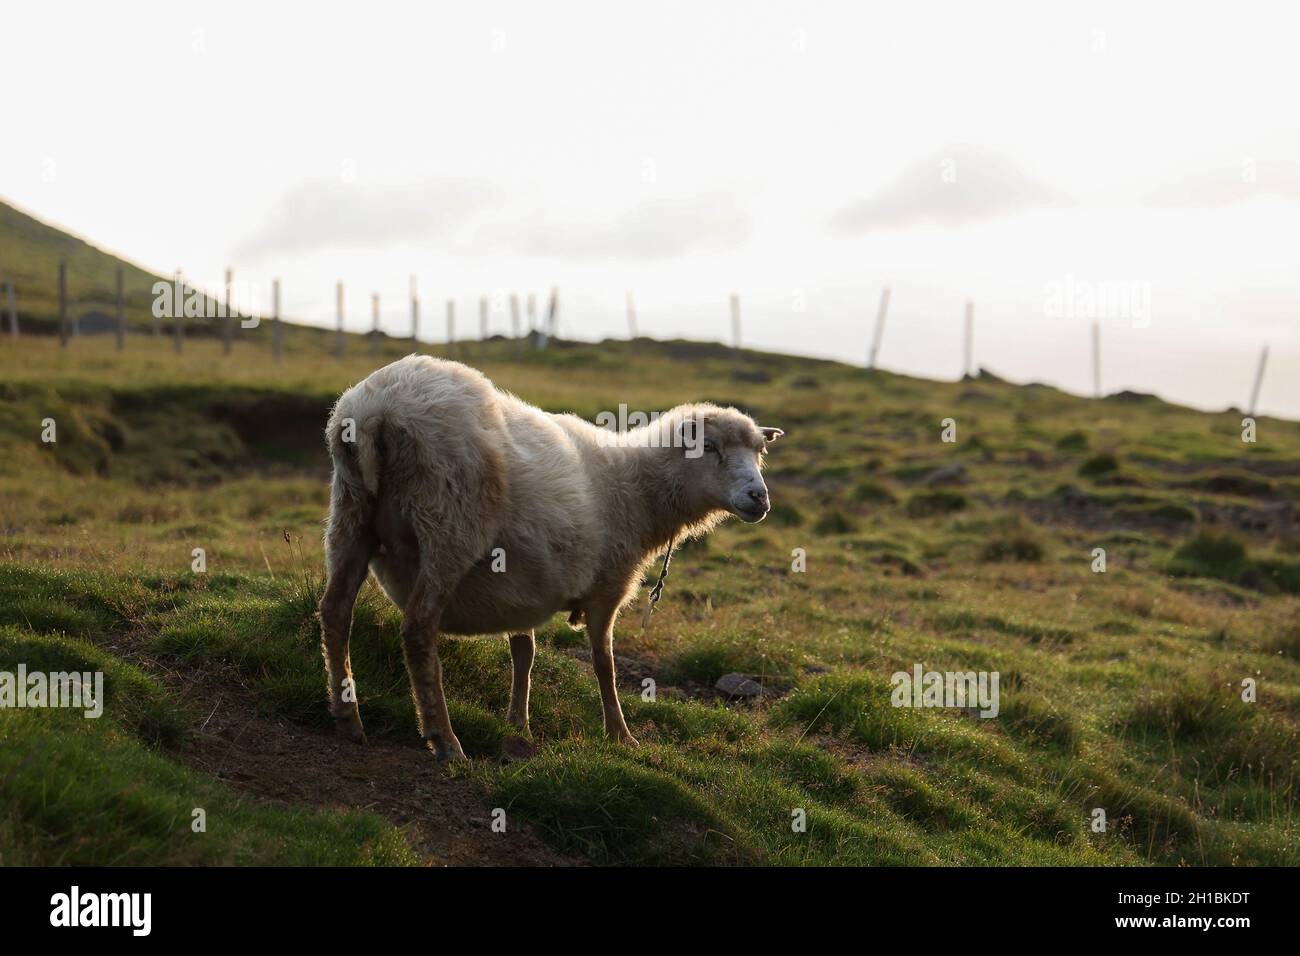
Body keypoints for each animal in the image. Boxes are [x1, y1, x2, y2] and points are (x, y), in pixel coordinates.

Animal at [317, 351, 780, 764]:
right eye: (709, 446)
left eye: (759, 451)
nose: (759, 498)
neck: (637, 488)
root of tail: (377, 411)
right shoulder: (608, 586)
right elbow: (604, 661)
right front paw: (620, 735)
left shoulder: (520, 582)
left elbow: (525, 652)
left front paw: (518, 723)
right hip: (450, 524)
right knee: (418, 628)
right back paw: (445, 741)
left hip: (350, 513)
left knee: (335, 610)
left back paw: (347, 718)